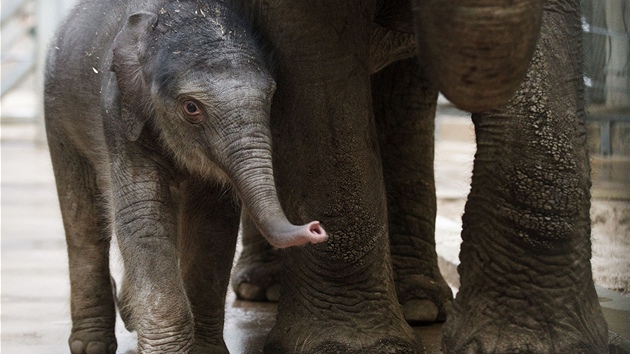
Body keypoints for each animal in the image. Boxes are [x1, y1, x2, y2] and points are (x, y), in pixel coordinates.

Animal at [46, 0, 328, 354]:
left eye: (272, 96)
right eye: (191, 107)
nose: (316, 229)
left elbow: (212, 226)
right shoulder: (117, 113)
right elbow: (144, 217)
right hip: (58, 116)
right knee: (83, 224)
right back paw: (91, 344)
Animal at [235, 0, 608, 352]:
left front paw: (530, 345)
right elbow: (318, 69)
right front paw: (349, 348)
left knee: (403, 102)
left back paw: (420, 307)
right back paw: (262, 288)